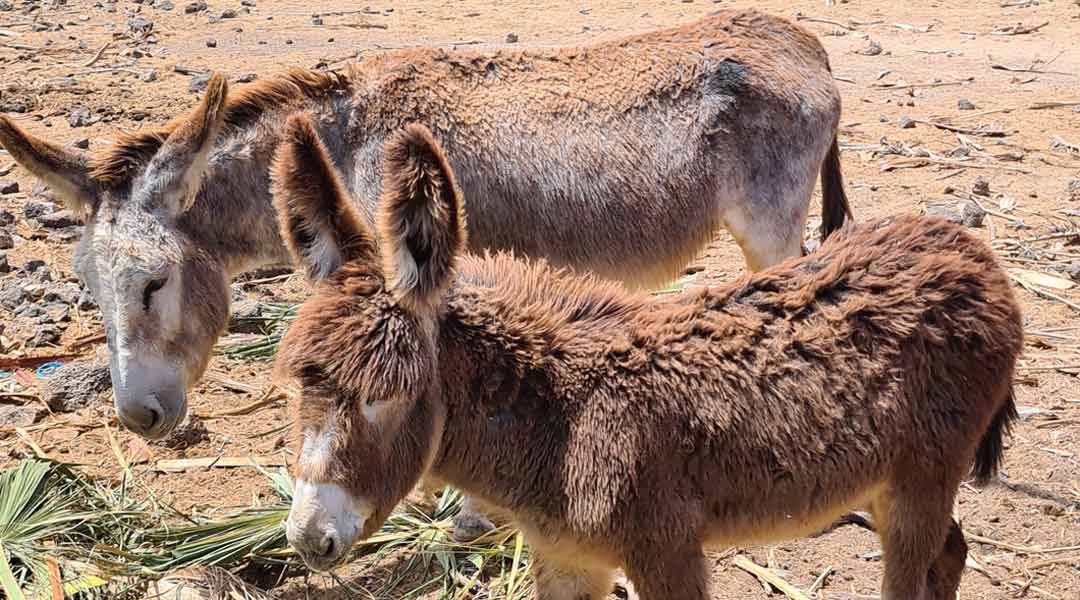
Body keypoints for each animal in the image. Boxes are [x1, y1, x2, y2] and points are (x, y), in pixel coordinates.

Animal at [270, 118, 1019, 600]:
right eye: (301, 388)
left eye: (387, 396)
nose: (308, 538)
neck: (562, 419)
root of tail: (969, 253)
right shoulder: (565, 557)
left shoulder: (667, 550)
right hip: (892, 479)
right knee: (952, 552)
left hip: (922, 475)